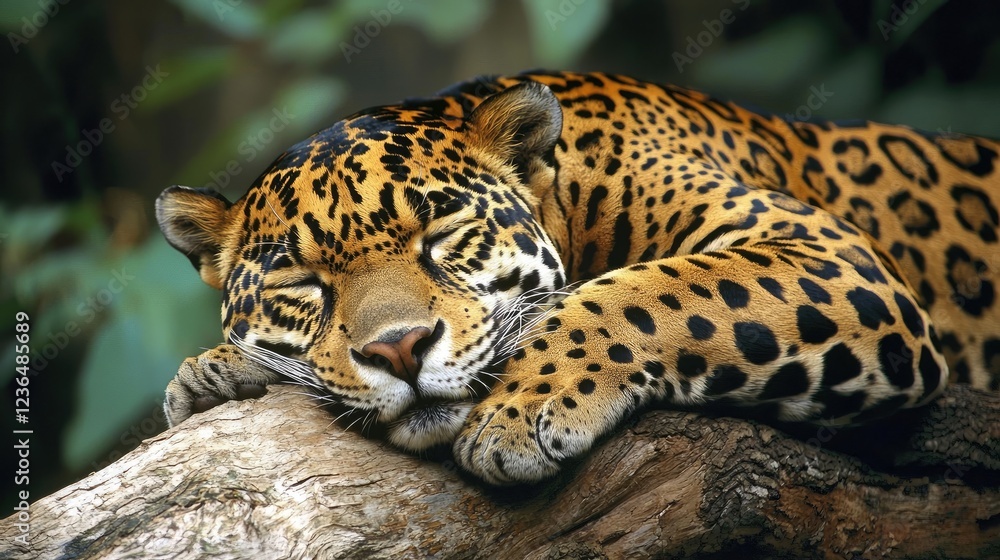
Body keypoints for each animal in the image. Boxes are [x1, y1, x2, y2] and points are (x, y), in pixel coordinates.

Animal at [156, 71, 1000, 485]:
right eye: (301, 283)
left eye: (443, 235)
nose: (400, 350)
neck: (565, 185)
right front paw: (215, 371)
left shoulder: (824, 252)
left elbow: (654, 291)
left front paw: (518, 413)